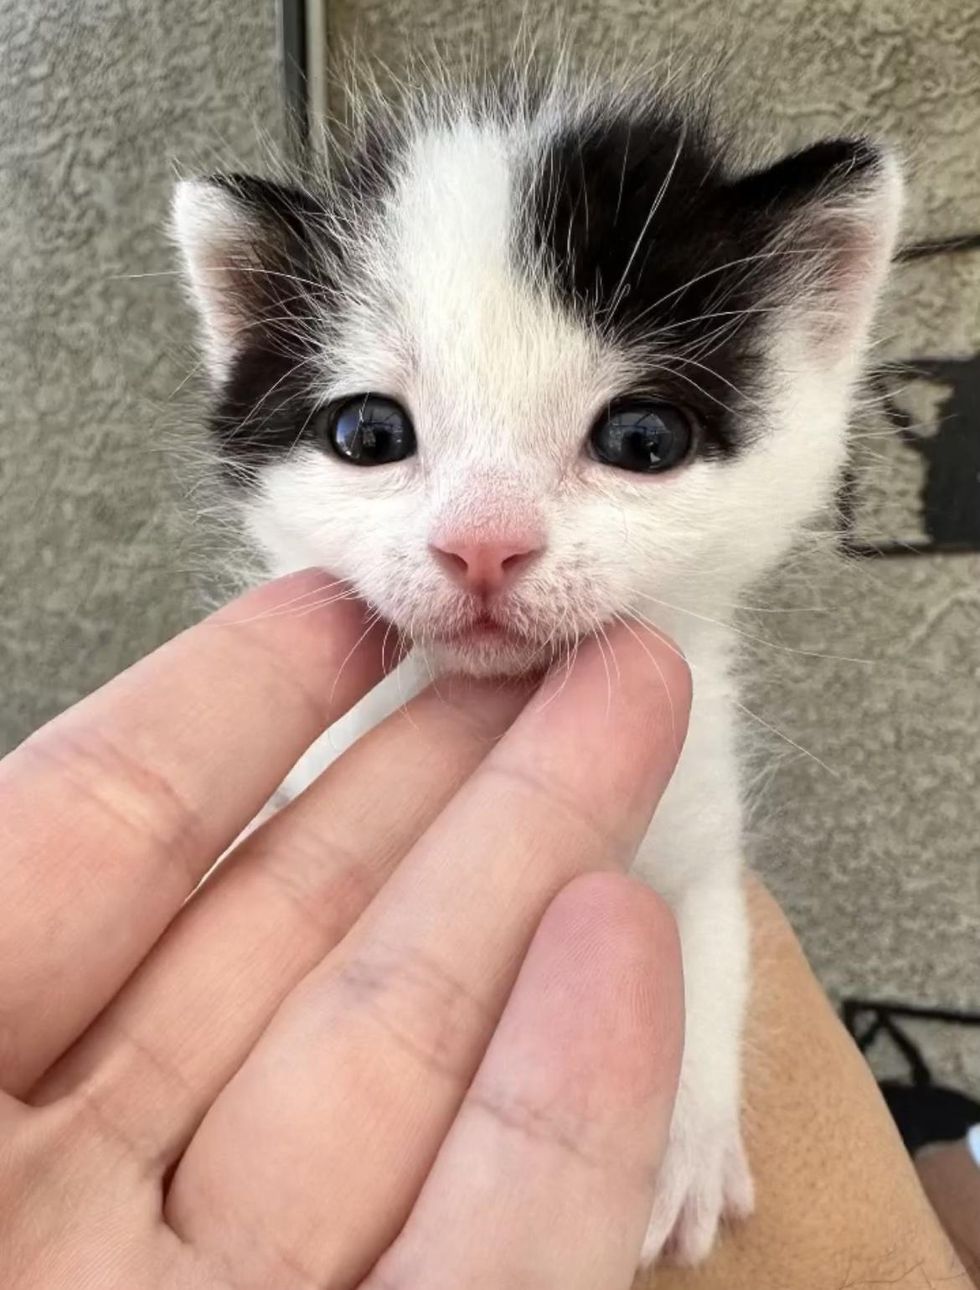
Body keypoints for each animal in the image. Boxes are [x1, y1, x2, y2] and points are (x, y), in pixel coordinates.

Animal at [172, 68, 897, 1259]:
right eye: (368, 435)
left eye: (643, 440)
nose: (482, 544)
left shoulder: (700, 820)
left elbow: (702, 939)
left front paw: (687, 1150)